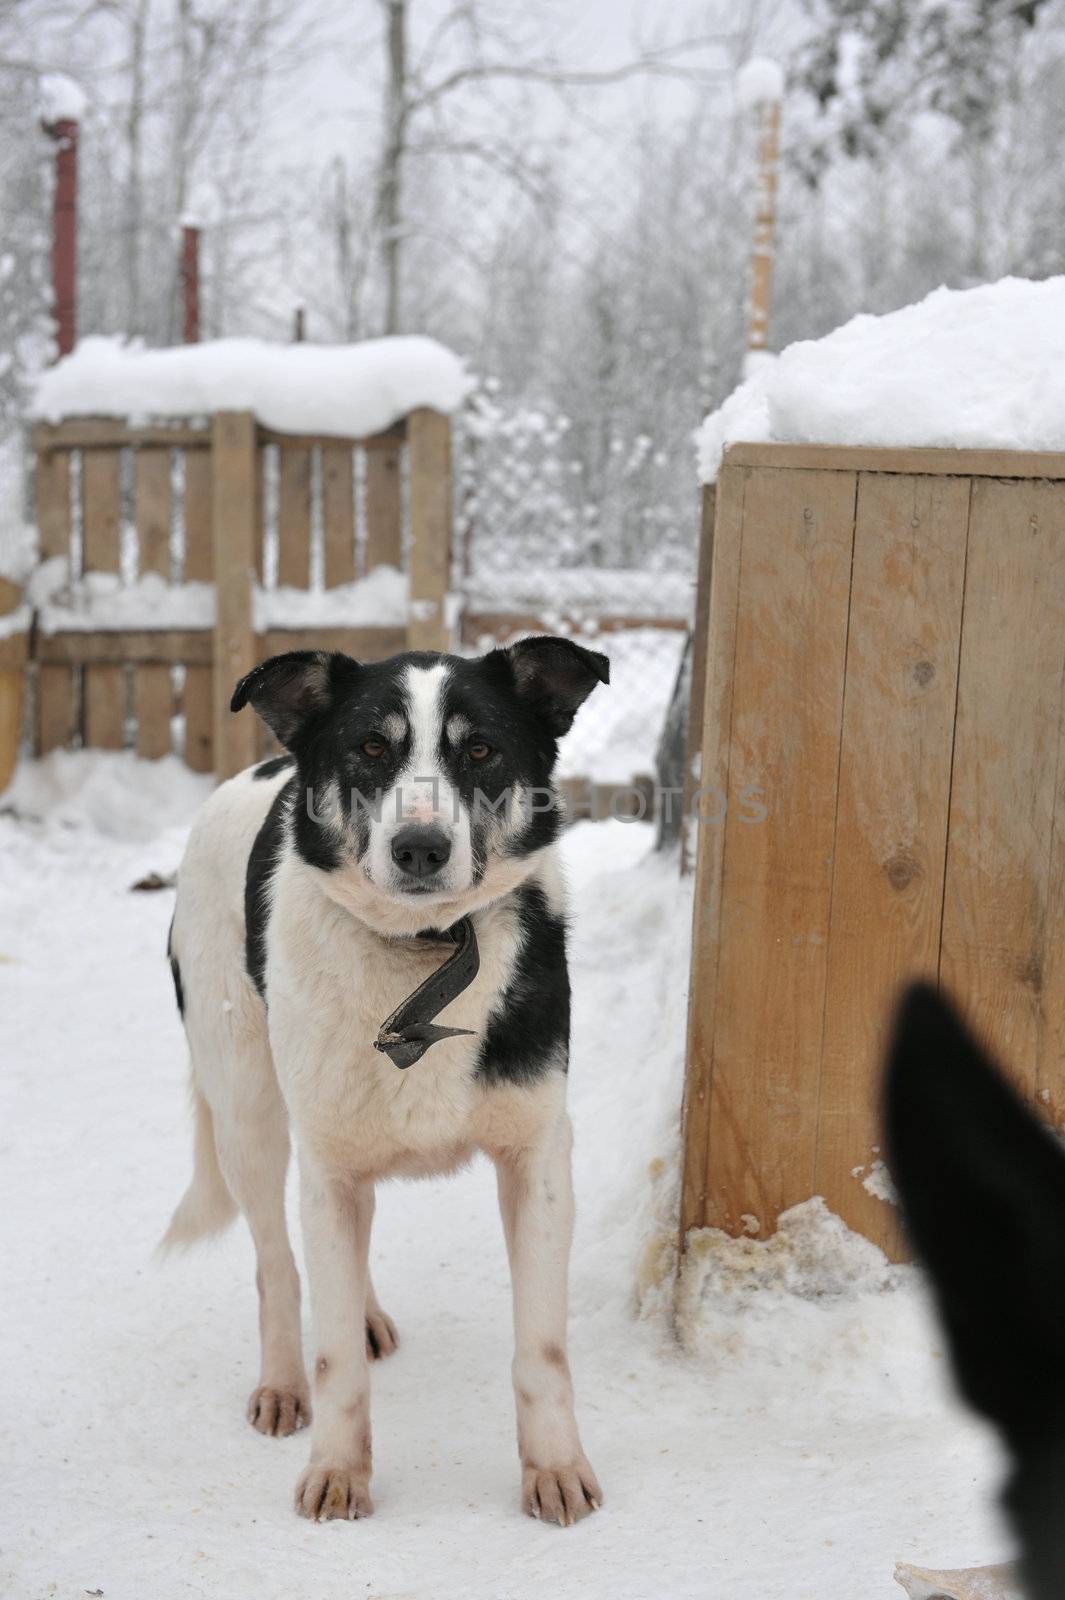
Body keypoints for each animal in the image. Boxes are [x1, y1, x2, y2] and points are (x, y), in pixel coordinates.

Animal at [163, 633, 604, 1523]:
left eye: (480, 750)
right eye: (370, 748)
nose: (419, 849)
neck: (423, 951)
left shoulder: (538, 1160)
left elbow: (540, 1347)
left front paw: (553, 1468)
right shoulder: (324, 1164)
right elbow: (333, 1355)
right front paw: (338, 1471)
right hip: (248, 1111)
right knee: (276, 1261)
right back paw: (281, 1382)